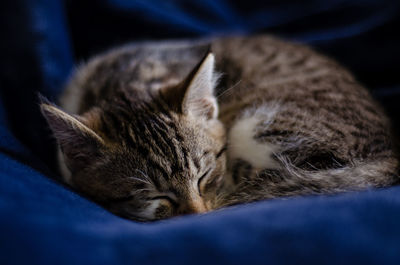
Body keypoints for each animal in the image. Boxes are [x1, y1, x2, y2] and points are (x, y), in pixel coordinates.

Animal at [39, 35, 398, 221]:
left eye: (205, 175)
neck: (124, 80)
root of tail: (389, 156)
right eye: (152, 195)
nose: (198, 215)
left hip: (259, 127)